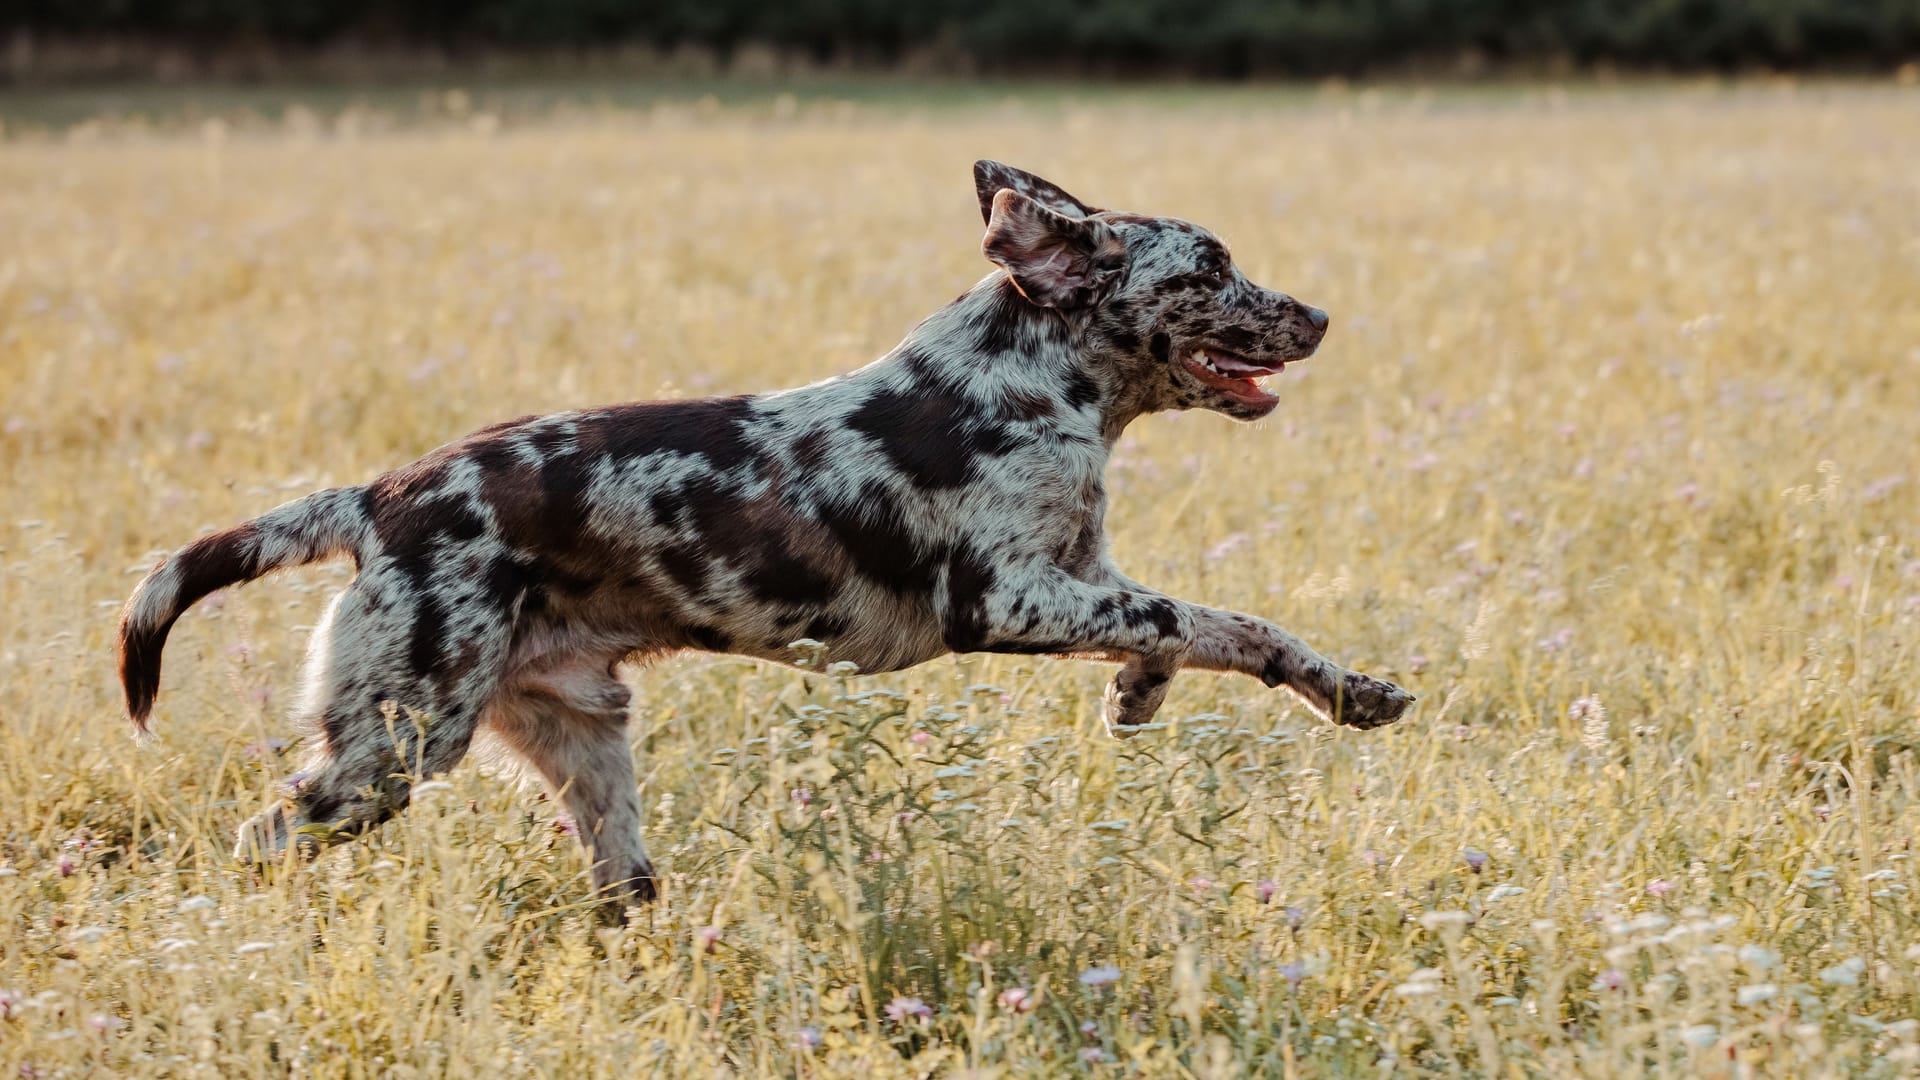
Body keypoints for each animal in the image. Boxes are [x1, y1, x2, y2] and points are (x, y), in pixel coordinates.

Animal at [116, 159, 1413, 899]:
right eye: (1213, 265)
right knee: (255, 841)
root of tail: (379, 495)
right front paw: (1329, 690)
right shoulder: (1007, 598)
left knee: (621, 893)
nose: (1321, 315)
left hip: (587, 755)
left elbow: (1180, 630)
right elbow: (1220, 621)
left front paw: (1152, 698)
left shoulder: (1084, 576)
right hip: (390, 755)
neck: (1031, 384)